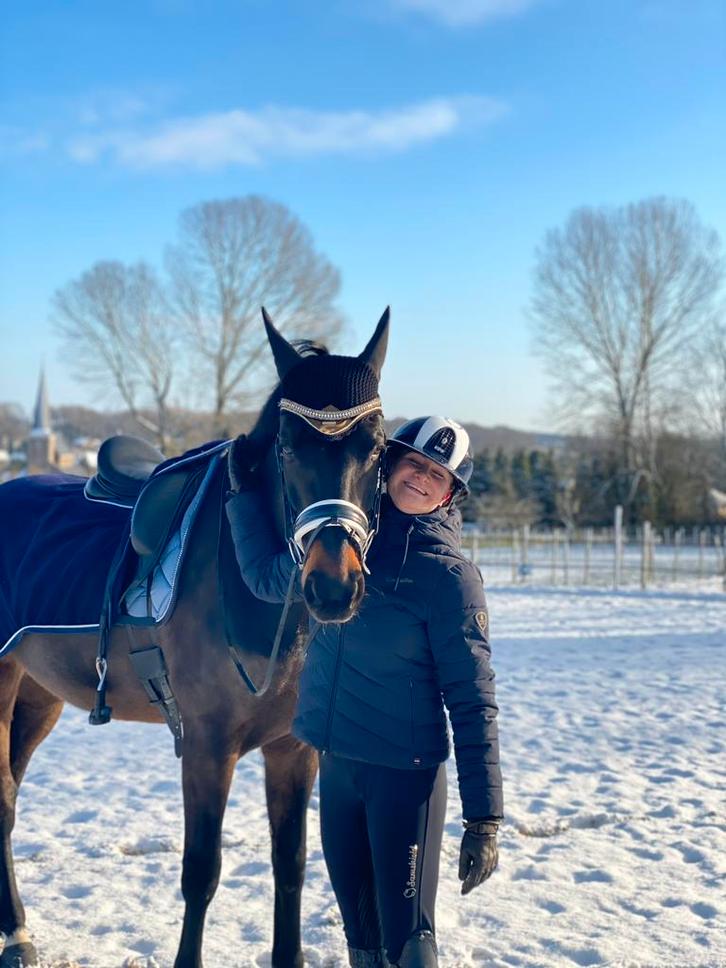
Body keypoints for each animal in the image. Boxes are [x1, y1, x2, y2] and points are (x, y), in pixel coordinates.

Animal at [0, 307, 389, 968]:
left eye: (379, 446)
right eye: (288, 447)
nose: (333, 587)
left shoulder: (293, 749)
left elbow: (291, 864)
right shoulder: (208, 746)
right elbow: (201, 872)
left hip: (38, 695)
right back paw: (17, 936)